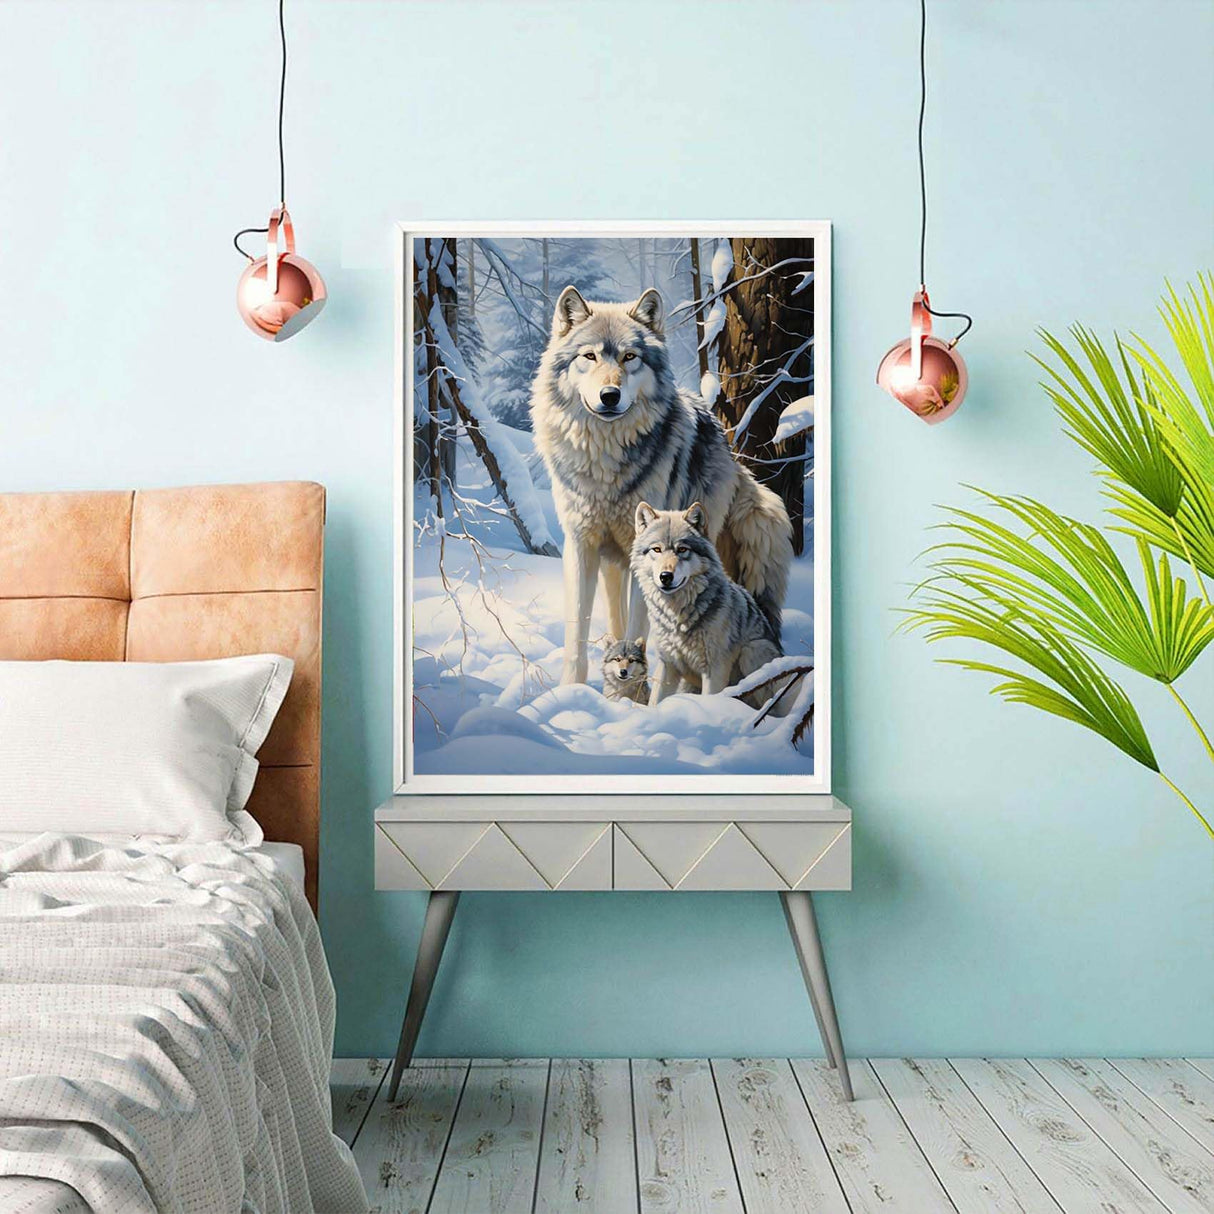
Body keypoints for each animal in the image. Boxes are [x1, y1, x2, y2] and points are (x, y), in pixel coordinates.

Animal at [530, 283, 793, 685]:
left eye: (630, 357)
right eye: (590, 356)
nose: (610, 395)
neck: (605, 463)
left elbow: (639, 627)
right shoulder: (581, 545)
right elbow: (577, 632)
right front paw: (570, 690)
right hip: (615, 561)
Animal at [632, 501, 786, 708]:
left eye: (682, 550)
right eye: (656, 549)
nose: (666, 577)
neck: (677, 617)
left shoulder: (715, 669)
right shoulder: (667, 664)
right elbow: (655, 701)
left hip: (753, 651)